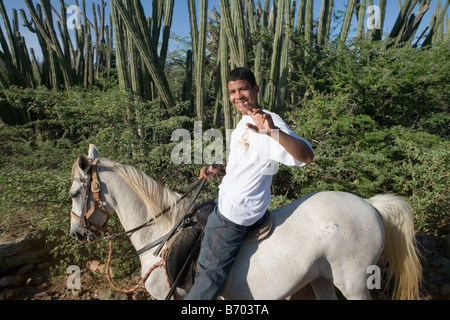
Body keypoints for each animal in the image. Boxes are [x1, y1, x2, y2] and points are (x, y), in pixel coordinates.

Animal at [69, 145, 422, 300]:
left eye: (74, 193)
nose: (77, 234)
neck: (162, 233)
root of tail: (370, 206)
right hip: (322, 278)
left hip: (354, 284)